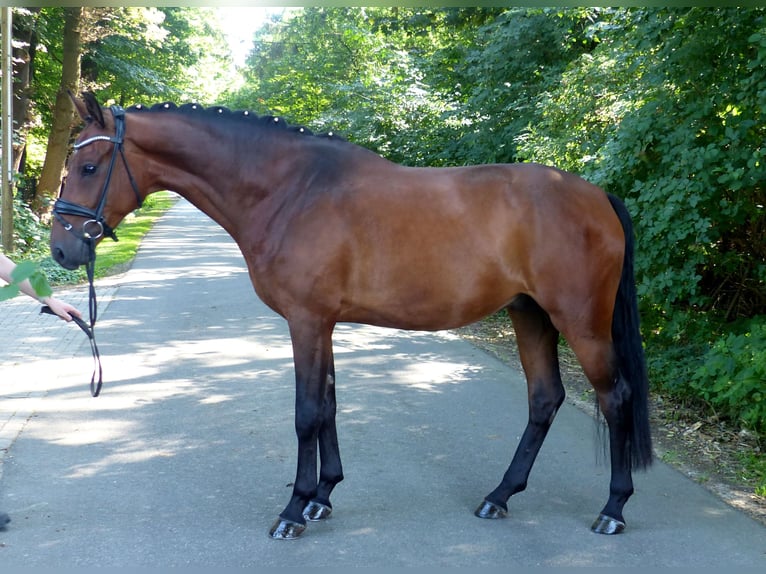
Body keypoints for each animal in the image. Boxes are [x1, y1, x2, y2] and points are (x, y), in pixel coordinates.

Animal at [51, 92, 656, 544]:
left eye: (88, 166)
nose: (61, 249)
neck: (291, 191)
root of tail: (597, 195)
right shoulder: (323, 324)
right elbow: (329, 406)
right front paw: (322, 497)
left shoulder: (306, 321)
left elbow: (306, 412)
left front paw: (293, 511)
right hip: (530, 316)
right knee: (545, 399)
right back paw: (499, 496)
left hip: (580, 323)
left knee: (615, 397)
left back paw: (614, 509)